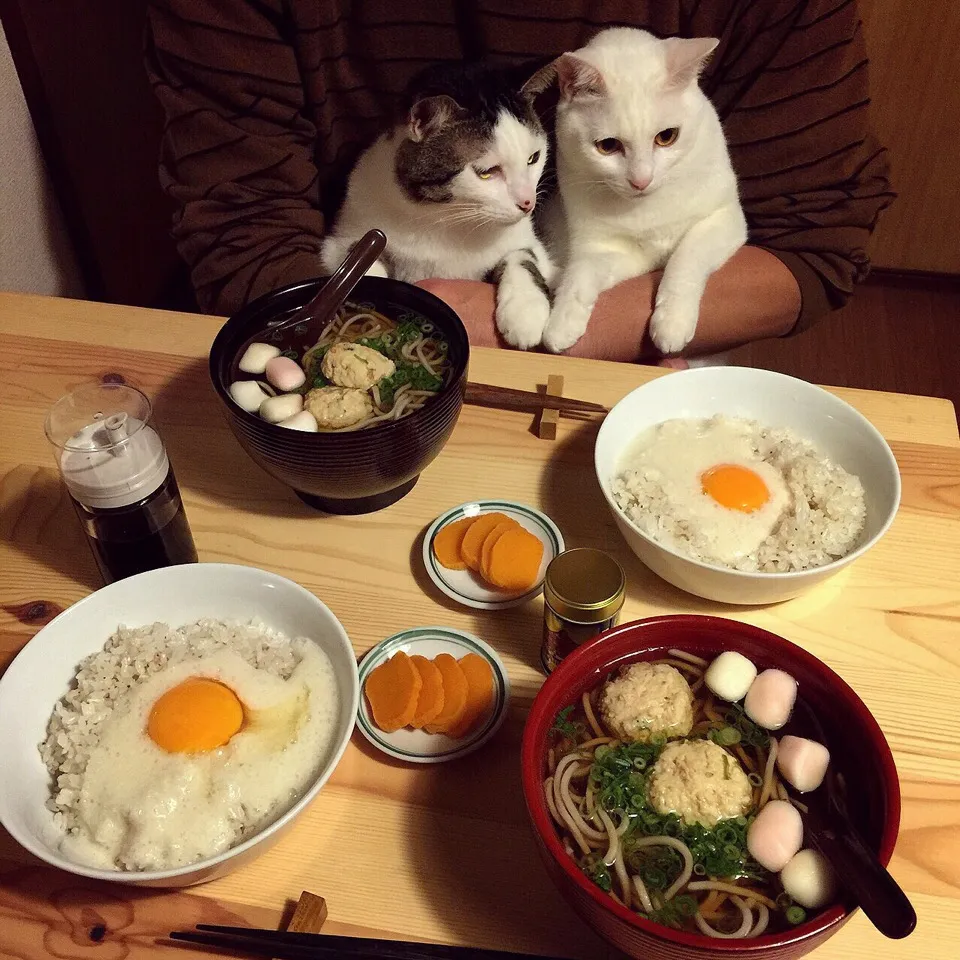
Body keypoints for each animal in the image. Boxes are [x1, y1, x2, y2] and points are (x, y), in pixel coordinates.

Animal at [320, 62, 556, 348]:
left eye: (534, 158)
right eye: (487, 172)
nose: (527, 203)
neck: (444, 217)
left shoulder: (528, 244)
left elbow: (521, 256)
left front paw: (525, 312)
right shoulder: (340, 240)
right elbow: (359, 262)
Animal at [536, 28, 748, 354]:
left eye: (667, 137)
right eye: (607, 146)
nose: (641, 181)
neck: (647, 209)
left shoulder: (723, 218)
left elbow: (686, 258)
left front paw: (672, 322)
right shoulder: (612, 250)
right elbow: (580, 274)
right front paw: (561, 324)